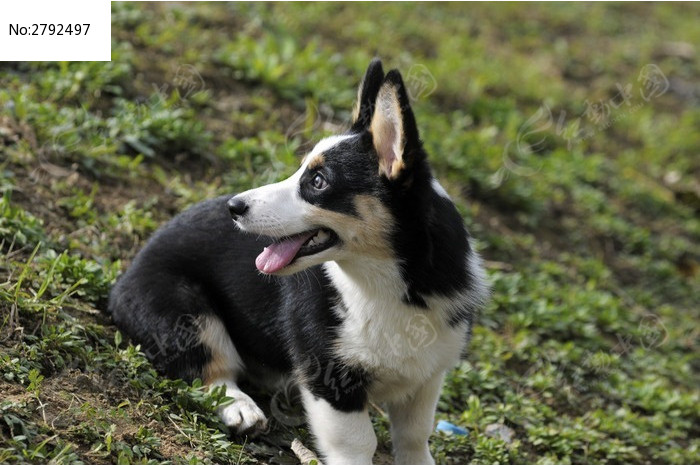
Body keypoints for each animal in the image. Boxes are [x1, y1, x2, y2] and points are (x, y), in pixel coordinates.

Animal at [110, 59, 492, 464]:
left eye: (318, 181)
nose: (234, 206)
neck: (389, 284)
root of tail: (126, 275)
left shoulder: (427, 378)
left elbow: (416, 436)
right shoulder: (330, 379)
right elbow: (359, 443)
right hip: (186, 314)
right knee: (212, 367)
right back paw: (241, 408)